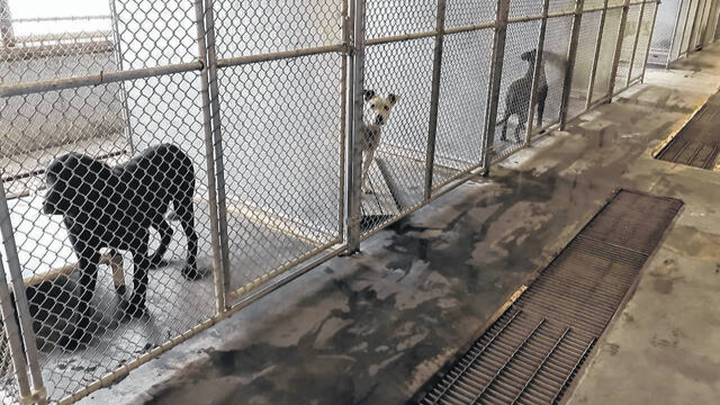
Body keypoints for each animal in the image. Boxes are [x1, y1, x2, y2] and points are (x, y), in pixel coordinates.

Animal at [43, 143, 200, 346]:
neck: (88, 212)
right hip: (154, 212)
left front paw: (136, 306)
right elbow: (84, 299)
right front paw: (77, 335)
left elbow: (139, 278)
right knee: (167, 232)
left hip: (182, 202)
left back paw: (191, 268)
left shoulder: (139, 240)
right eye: (48, 178)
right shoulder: (86, 259)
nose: (45, 203)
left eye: (69, 177)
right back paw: (155, 259)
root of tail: (171, 146)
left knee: (192, 236)